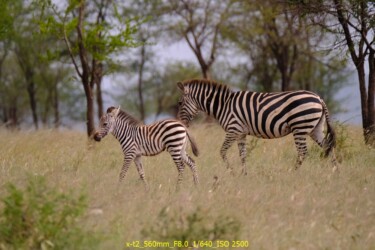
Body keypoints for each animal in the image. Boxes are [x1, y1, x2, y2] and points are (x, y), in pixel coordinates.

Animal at [178, 78, 340, 174]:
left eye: (179, 103)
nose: (182, 124)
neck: (224, 105)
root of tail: (319, 98)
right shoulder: (241, 133)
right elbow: (243, 155)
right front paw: (244, 175)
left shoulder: (233, 129)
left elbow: (222, 151)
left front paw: (231, 172)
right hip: (315, 129)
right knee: (328, 146)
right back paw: (335, 172)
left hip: (299, 127)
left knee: (303, 152)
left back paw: (293, 173)